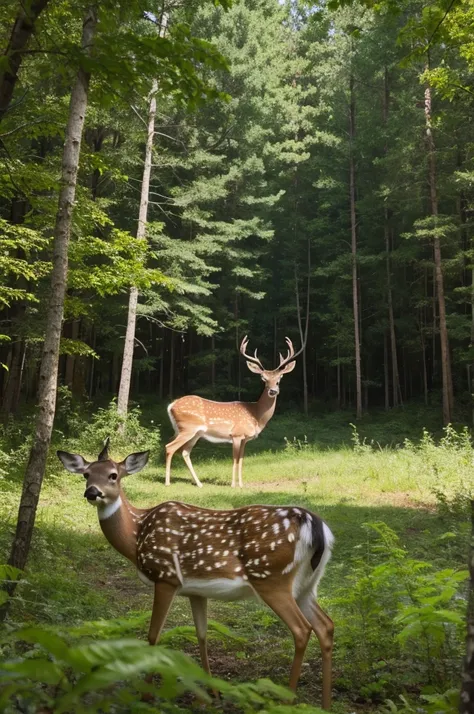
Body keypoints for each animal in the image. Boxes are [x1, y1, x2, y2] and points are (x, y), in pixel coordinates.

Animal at [57, 440, 336, 708]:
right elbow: (202, 635)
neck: (136, 534)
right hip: (306, 585)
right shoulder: (195, 591)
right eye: (86, 474)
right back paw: (325, 704)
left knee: (302, 629)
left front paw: (146, 695)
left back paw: (287, 699)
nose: (92, 492)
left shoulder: (166, 576)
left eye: (113, 475)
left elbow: (153, 636)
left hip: (272, 578)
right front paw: (211, 693)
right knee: (326, 625)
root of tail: (314, 524)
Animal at [165, 334, 306, 484]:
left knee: (185, 452)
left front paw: (241, 484)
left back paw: (199, 484)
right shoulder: (236, 435)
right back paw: (168, 482)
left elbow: (241, 461)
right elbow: (234, 460)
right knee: (170, 447)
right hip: (187, 428)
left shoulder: (245, 438)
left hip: (195, 433)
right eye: (263, 379)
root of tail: (171, 405)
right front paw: (233, 484)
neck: (256, 414)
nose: (273, 391)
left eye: (280, 378)